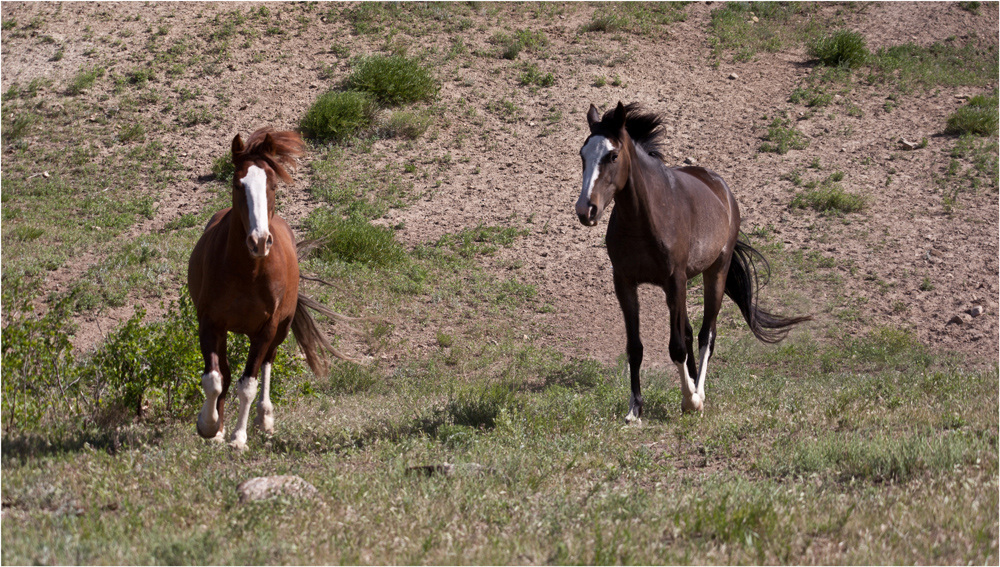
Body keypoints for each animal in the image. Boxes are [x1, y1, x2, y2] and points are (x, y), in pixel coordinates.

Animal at [188, 129, 352, 452]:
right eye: (238, 183)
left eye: (273, 185)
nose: (260, 241)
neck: (248, 272)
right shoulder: (210, 322)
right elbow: (215, 378)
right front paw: (210, 426)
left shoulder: (266, 328)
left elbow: (249, 384)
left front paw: (239, 438)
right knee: (226, 373)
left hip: (280, 329)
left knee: (266, 364)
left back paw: (264, 419)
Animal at [576, 102, 808, 424]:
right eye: (582, 155)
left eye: (612, 155)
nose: (586, 209)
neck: (644, 219)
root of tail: (720, 187)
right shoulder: (625, 282)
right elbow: (636, 347)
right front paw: (635, 409)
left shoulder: (675, 280)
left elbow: (677, 347)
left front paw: (690, 401)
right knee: (688, 334)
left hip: (715, 274)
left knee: (705, 335)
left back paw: (699, 392)